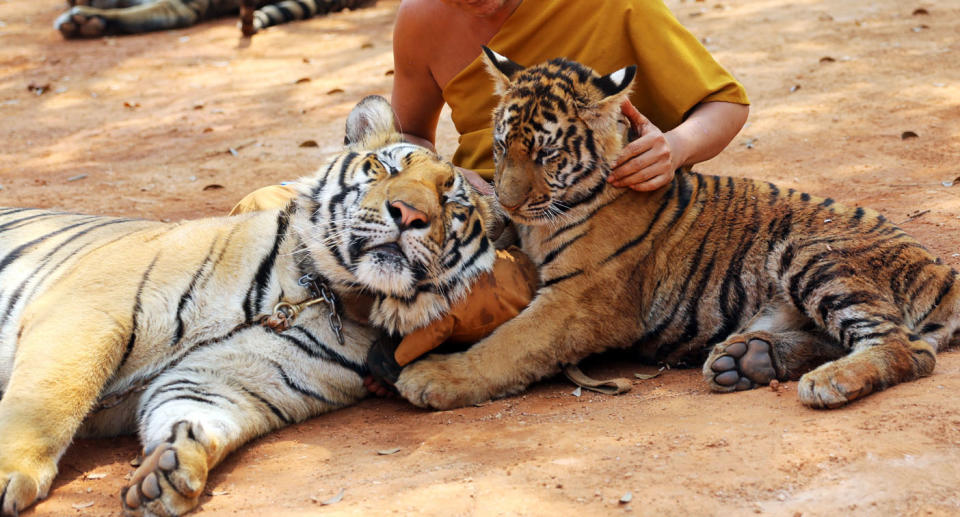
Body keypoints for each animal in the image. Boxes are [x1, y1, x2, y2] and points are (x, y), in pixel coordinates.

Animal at [0, 95, 496, 516]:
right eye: (382, 168)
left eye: (450, 201)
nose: (409, 214)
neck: (323, 292)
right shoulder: (90, 309)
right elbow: (45, 404)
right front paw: (9, 475)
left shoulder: (229, 378)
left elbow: (194, 412)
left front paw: (171, 469)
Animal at [392, 49, 960, 412]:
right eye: (502, 145)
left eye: (547, 153)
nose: (509, 201)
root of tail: (944, 271)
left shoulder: (576, 301)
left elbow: (508, 344)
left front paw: (433, 377)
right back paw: (748, 360)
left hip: (812, 252)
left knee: (909, 348)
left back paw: (827, 382)